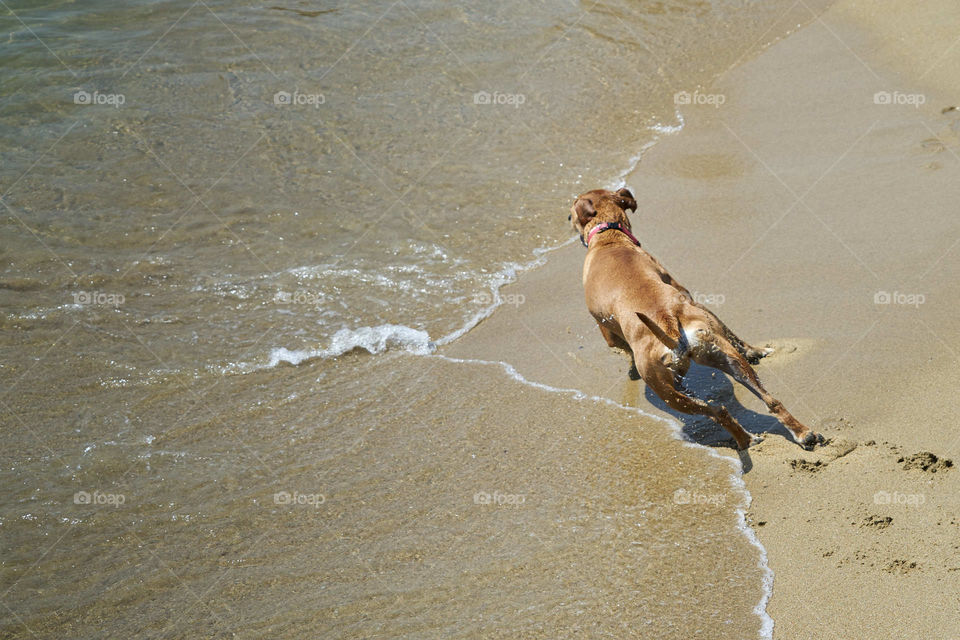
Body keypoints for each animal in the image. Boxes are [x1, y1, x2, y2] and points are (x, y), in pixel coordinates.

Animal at [572, 188, 820, 452]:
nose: (568, 219)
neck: (609, 238)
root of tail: (668, 321)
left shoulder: (606, 329)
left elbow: (620, 346)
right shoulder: (691, 298)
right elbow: (734, 334)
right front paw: (756, 350)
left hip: (667, 392)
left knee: (717, 411)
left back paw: (746, 439)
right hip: (725, 358)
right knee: (769, 400)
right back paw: (802, 433)